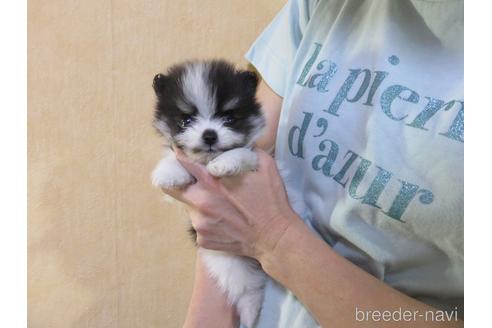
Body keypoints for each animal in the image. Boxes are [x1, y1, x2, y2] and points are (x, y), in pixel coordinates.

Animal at [153, 60, 268, 326]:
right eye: (186, 120)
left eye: (229, 117)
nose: (209, 135)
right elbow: (174, 160)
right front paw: (167, 172)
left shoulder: (256, 157)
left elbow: (242, 154)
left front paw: (225, 163)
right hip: (226, 261)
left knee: (250, 290)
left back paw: (250, 314)